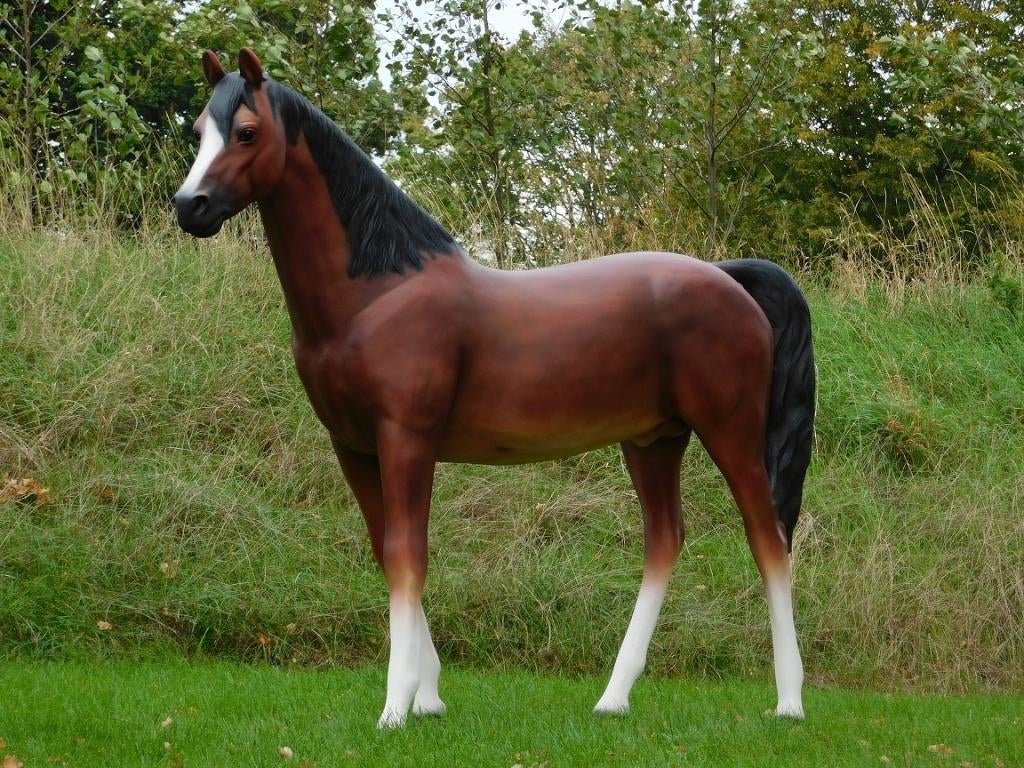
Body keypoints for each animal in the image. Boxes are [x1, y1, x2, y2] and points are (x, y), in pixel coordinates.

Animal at [173, 48, 815, 729]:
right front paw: (428, 695)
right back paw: (613, 698)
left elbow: (407, 555)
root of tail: (728, 277)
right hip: (653, 440)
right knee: (664, 540)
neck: (377, 295)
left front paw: (396, 707)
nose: (190, 206)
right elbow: (386, 551)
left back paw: (789, 701)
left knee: (768, 539)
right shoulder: (354, 448)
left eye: (246, 132)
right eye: (199, 129)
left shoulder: (407, 441)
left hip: (730, 434)